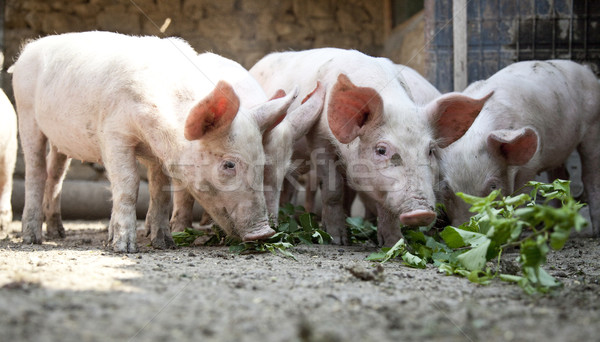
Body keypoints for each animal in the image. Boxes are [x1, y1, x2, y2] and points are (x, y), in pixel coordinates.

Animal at [10, 31, 296, 251]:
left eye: (261, 163)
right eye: (229, 165)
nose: (264, 232)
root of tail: (29, 50)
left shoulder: (160, 153)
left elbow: (160, 192)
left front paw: (165, 244)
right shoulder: (114, 135)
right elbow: (128, 184)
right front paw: (124, 248)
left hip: (60, 140)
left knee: (56, 174)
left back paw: (57, 233)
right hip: (26, 113)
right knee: (36, 171)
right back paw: (32, 239)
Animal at [251, 48, 490, 246]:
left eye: (430, 151)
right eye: (381, 150)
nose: (421, 212)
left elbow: (383, 204)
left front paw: (394, 244)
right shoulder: (319, 139)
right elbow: (332, 191)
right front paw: (337, 240)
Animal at [438, 60, 600, 235]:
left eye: (493, 186)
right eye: (446, 188)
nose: (468, 227)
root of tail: (585, 69)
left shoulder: (531, 165)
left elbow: (520, 196)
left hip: (593, 125)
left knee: (590, 175)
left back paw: (595, 231)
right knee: (558, 179)